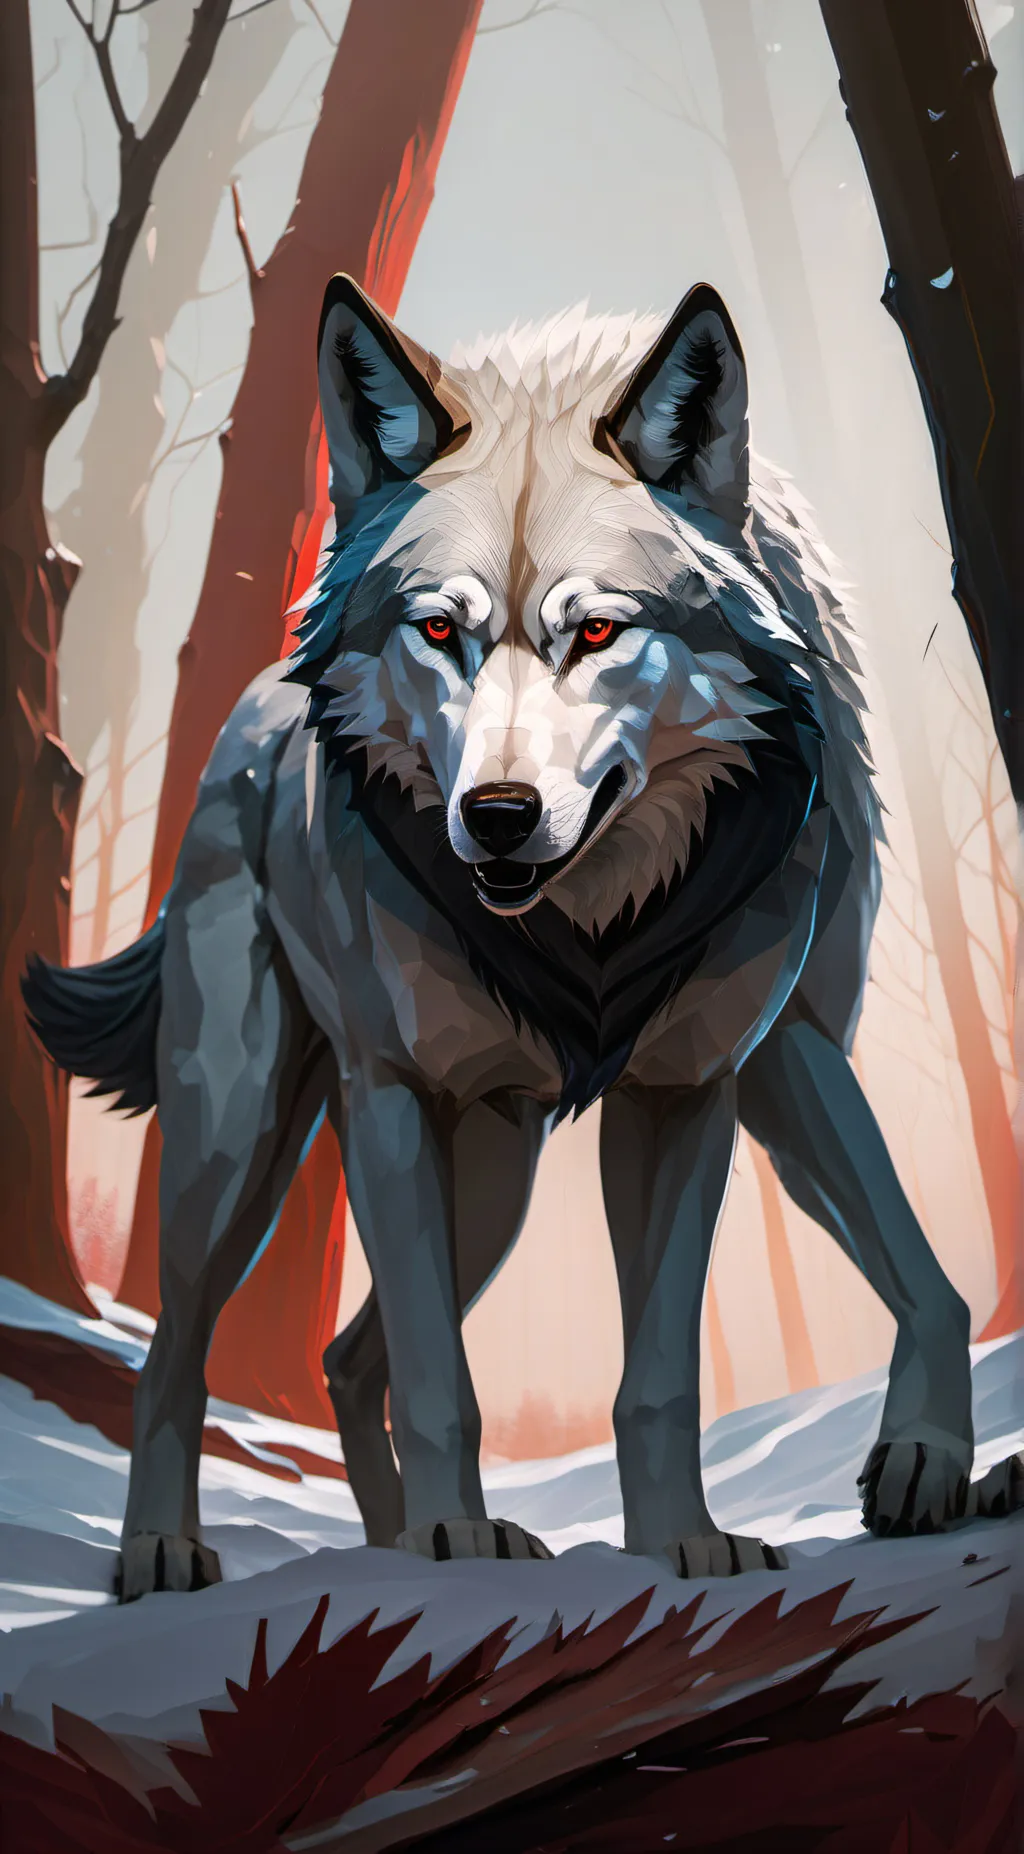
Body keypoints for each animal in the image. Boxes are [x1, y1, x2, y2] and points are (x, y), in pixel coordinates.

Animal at [26, 276, 1018, 1601]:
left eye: (593, 633)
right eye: (439, 632)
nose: (493, 815)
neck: (592, 932)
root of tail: (251, 706)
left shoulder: (723, 1074)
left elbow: (693, 1362)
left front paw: (693, 1540)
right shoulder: (395, 1092)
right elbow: (444, 1384)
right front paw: (455, 1539)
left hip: (492, 1181)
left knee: (348, 1358)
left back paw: (387, 1538)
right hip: (238, 1149)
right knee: (180, 1351)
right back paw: (171, 1551)